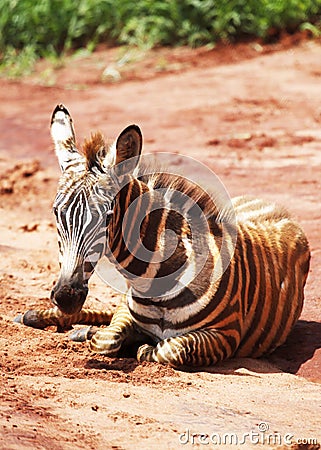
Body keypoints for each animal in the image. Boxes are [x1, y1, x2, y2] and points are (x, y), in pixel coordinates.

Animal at [13, 103, 308, 368]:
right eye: (56, 212)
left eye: (107, 216)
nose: (66, 296)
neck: (153, 282)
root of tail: (279, 209)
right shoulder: (125, 312)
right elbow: (108, 338)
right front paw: (102, 334)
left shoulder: (227, 334)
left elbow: (171, 349)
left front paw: (139, 345)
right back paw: (39, 317)